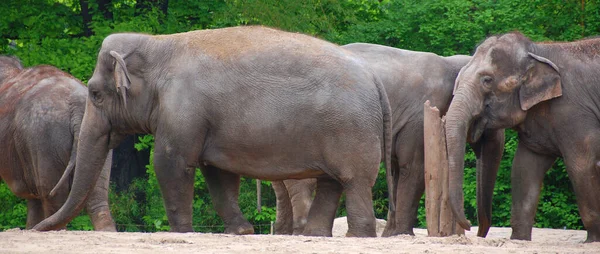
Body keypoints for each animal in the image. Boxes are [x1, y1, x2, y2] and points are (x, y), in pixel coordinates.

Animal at [35, 26, 396, 238]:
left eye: (95, 93)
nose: (37, 229)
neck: (157, 46)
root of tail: (375, 79)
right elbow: (218, 175)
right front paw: (242, 231)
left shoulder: (183, 108)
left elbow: (170, 164)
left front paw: (182, 232)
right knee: (331, 182)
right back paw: (316, 236)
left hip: (350, 130)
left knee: (355, 181)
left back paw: (358, 236)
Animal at [272, 43, 482, 236]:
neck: (451, 62)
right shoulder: (419, 116)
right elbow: (413, 168)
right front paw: (401, 234)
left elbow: (397, 171)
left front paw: (390, 234)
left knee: (280, 184)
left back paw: (285, 232)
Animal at [446, 32, 600, 243]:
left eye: (487, 80)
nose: (469, 226)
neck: (537, 51)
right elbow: (523, 168)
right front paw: (519, 239)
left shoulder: (575, 112)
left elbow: (583, 166)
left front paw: (593, 240)